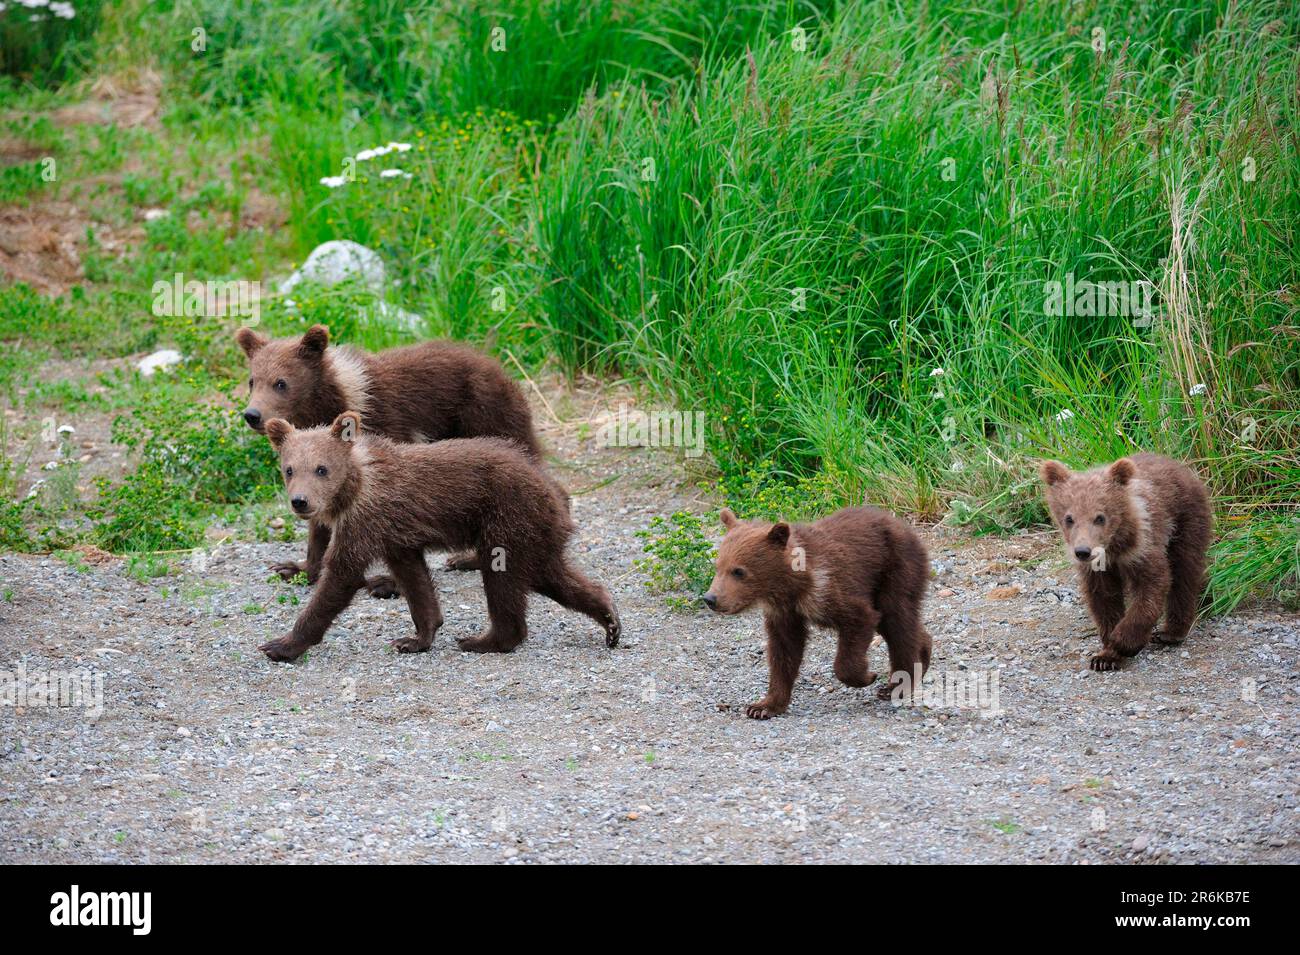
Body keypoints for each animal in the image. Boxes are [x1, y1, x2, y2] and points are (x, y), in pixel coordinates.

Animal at [235, 323, 540, 589]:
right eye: (252, 381)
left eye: (281, 383)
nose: (252, 415)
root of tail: (497, 365)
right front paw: (295, 568)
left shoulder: (392, 429)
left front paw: (387, 582)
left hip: (484, 417)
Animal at [256, 411, 620, 663]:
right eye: (289, 469)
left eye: (321, 468)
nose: (301, 501)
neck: (354, 489)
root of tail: (554, 491)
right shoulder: (395, 535)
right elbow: (415, 581)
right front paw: (416, 638)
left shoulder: (367, 520)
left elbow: (342, 575)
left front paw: (280, 644)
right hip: (535, 534)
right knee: (553, 576)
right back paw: (610, 619)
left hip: (506, 520)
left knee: (503, 580)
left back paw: (483, 640)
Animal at [702, 506, 932, 719]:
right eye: (718, 566)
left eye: (739, 571)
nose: (710, 598)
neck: (792, 587)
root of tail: (904, 526)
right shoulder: (784, 612)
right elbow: (784, 651)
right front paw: (763, 706)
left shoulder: (831, 591)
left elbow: (860, 619)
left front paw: (867, 676)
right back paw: (923, 654)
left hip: (896, 568)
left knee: (897, 619)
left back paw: (895, 686)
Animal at [1040, 452, 1212, 671]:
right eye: (1069, 518)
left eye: (1100, 517)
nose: (1083, 552)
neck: (1112, 548)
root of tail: (1179, 465)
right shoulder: (1098, 571)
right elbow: (1104, 600)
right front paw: (1105, 656)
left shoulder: (1142, 548)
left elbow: (1152, 587)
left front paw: (1123, 642)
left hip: (1185, 520)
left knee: (1185, 572)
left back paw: (1170, 633)